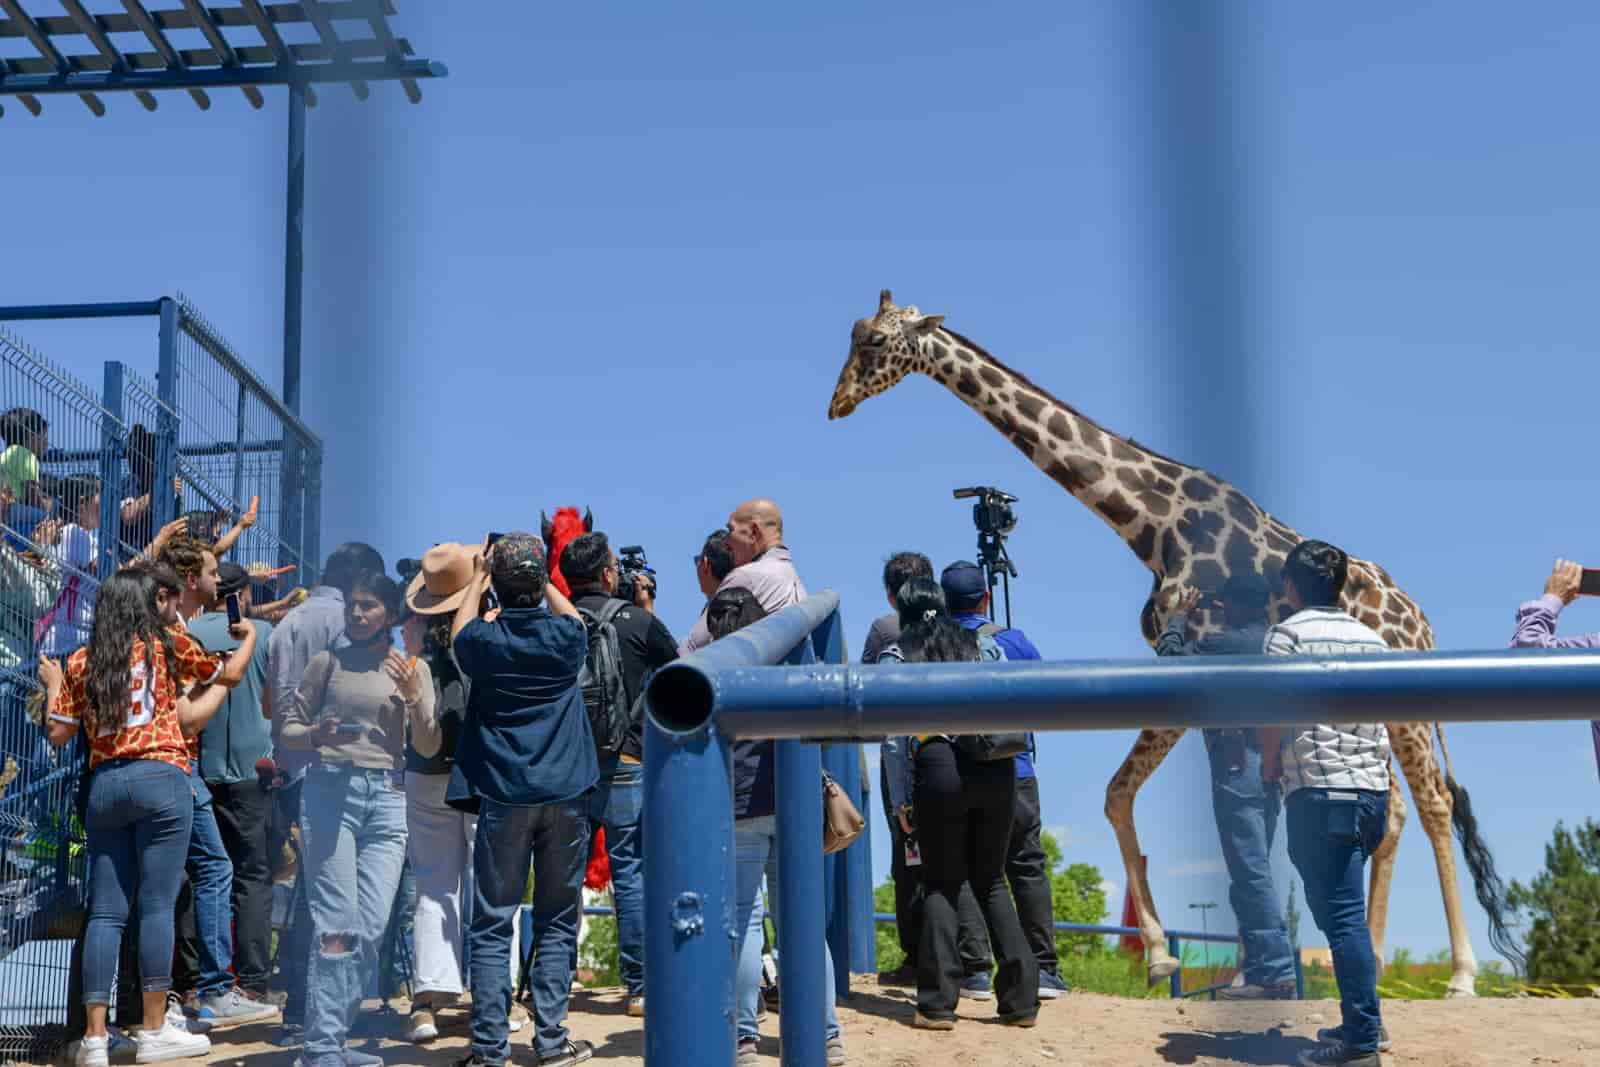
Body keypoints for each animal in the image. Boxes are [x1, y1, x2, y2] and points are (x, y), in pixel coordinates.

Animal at [832, 289, 1516, 991]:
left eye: (876, 343)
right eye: (855, 335)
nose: (838, 402)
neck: (1153, 524)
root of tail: (1422, 619)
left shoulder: (1197, 659)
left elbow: (1157, 800)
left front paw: (1180, 956)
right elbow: (1144, 800)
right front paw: (1189, 959)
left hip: (1408, 708)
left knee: (1434, 804)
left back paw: (1461, 974)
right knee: (1396, 809)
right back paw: (1374, 959)